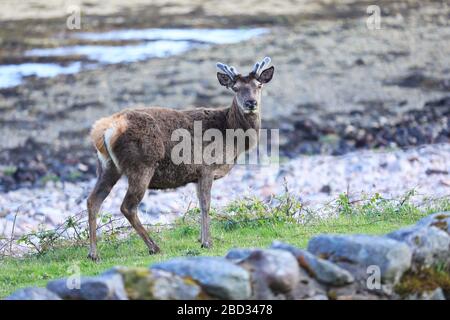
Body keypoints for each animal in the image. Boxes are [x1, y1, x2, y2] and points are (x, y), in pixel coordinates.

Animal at [85, 57, 274, 260]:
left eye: (259, 85)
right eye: (235, 87)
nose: (251, 103)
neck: (231, 138)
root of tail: (104, 130)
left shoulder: (197, 175)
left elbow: (200, 203)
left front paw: (201, 240)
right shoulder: (206, 167)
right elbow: (206, 204)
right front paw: (207, 242)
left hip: (107, 166)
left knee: (93, 201)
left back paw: (93, 253)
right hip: (142, 164)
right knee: (127, 206)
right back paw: (154, 247)